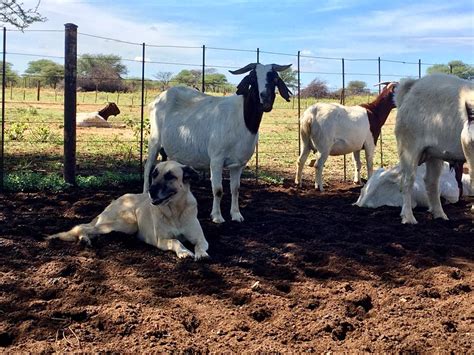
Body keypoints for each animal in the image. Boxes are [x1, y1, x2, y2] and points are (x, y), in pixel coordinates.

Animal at [47, 161, 209, 262]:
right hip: (127, 223)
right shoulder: (161, 240)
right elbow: (176, 241)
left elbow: (200, 245)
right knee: (82, 227)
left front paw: (202, 254)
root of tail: (115, 201)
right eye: (154, 175)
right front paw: (184, 252)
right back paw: (84, 239)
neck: (175, 211)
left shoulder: (201, 238)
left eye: (170, 176)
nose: (150, 191)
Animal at [143, 61, 292, 222]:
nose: (265, 99)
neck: (241, 119)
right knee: (148, 168)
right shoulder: (216, 160)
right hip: (154, 140)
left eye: (275, 78)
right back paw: (145, 195)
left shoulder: (239, 164)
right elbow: (218, 190)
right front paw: (217, 216)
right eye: (253, 78)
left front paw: (236, 214)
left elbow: (235, 189)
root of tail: (158, 98)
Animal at [392, 73, 474, 224]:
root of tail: (412, 87)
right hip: (408, 146)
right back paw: (408, 217)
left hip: (433, 153)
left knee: (431, 181)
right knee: (407, 180)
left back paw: (439, 214)